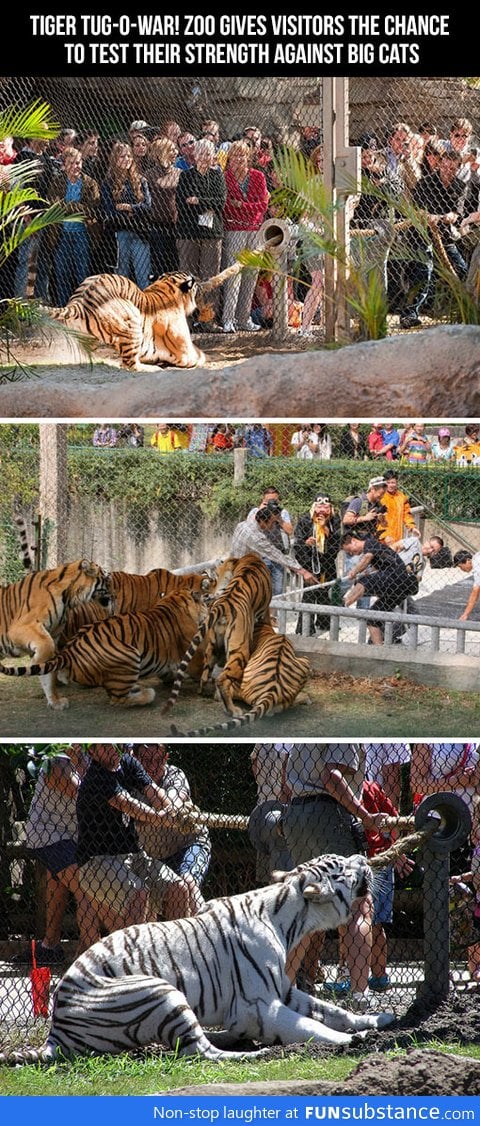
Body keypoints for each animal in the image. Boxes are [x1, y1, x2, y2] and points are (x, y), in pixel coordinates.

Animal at [0, 558, 111, 707]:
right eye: (106, 578)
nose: (114, 592)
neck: (69, 598)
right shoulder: (21, 627)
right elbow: (47, 649)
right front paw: (35, 664)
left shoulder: (52, 634)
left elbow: (49, 675)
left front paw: (55, 701)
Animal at [0, 851, 394, 1062]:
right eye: (343, 868)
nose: (364, 857)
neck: (291, 919)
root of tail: (56, 1030)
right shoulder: (262, 1005)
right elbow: (314, 1026)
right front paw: (348, 1040)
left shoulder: (283, 990)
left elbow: (333, 1011)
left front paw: (377, 1019)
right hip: (160, 990)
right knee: (202, 1051)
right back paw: (252, 1052)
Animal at [161, 553, 271, 720]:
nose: (211, 586)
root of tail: (223, 605)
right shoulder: (265, 610)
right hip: (240, 650)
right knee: (222, 679)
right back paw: (232, 710)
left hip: (212, 646)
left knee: (205, 675)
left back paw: (204, 692)